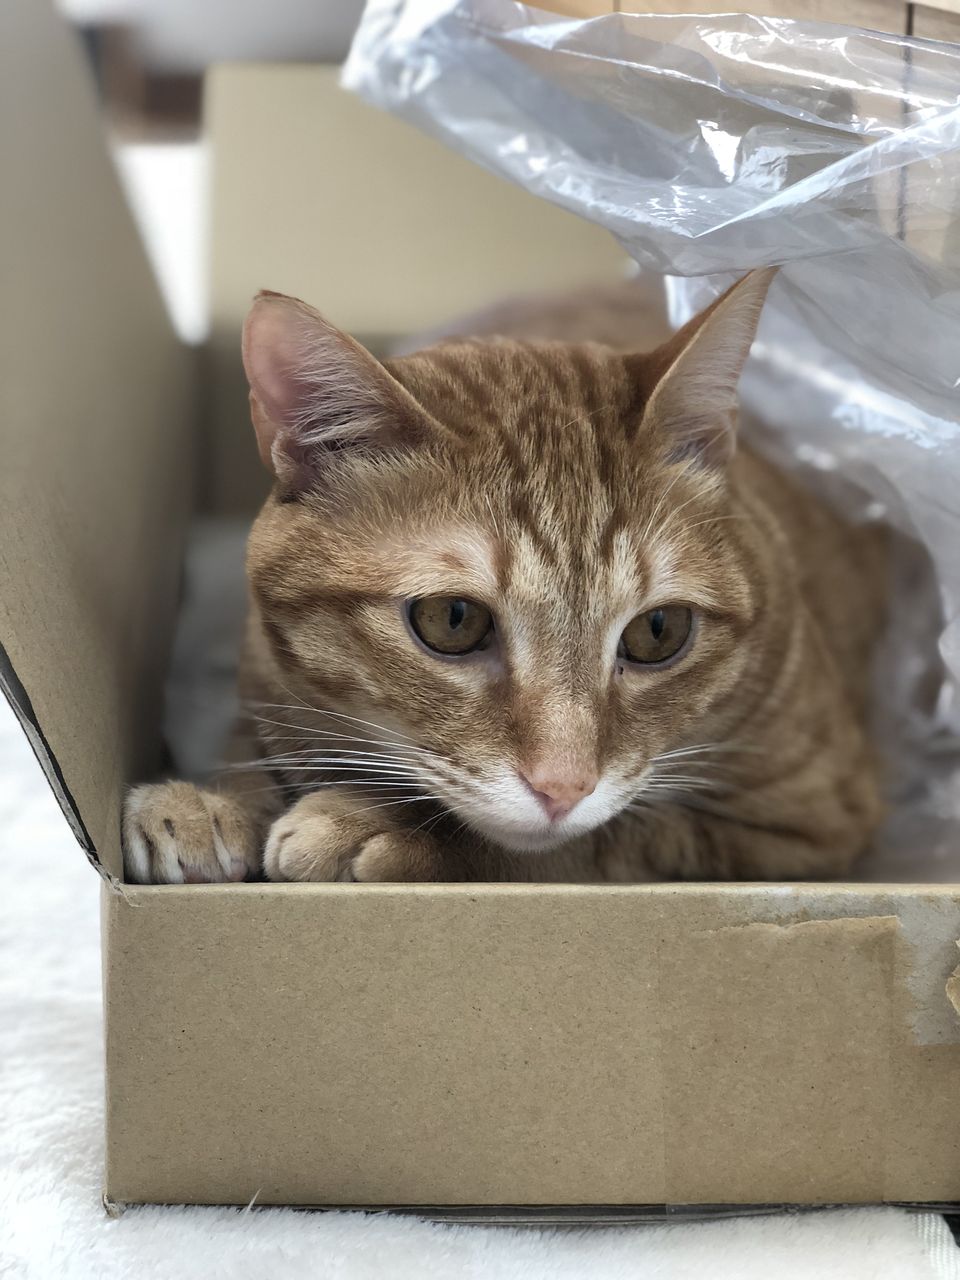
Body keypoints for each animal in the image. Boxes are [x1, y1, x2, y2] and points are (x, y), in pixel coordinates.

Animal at [123, 269, 888, 884]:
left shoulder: (809, 821)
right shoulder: (265, 688)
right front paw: (210, 804)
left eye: (659, 631)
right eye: (453, 621)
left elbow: (601, 840)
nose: (563, 787)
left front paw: (382, 827)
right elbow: (251, 750)